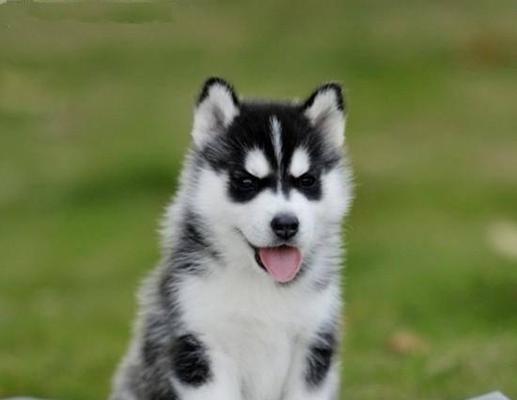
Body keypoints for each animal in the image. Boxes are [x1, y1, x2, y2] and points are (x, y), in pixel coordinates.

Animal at [110, 78, 352, 400]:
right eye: (246, 181)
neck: (263, 286)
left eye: (307, 180)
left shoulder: (313, 345)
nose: (286, 224)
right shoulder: (199, 343)